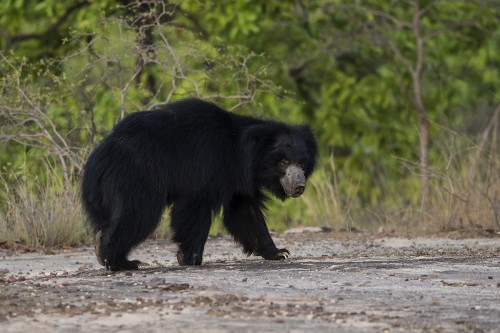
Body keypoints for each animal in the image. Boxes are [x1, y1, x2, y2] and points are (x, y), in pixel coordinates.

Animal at [81, 98, 316, 270]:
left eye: (301, 162)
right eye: (283, 162)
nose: (299, 186)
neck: (241, 151)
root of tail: (98, 159)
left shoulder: (237, 181)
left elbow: (245, 213)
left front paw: (279, 252)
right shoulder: (206, 166)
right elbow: (194, 209)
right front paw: (190, 258)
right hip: (137, 176)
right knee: (137, 214)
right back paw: (119, 261)